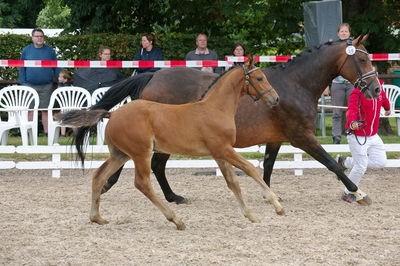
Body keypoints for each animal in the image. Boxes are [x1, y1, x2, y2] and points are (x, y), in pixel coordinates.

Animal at [61, 58, 282, 229]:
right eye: (260, 78)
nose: (276, 99)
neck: (214, 108)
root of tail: (113, 114)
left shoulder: (219, 153)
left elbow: (232, 182)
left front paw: (251, 215)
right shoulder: (224, 149)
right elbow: (251, 169)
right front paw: (277, 205)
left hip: (120, 154)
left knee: (99, 176)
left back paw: (97, 217)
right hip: (141, 153)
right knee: (142, 183)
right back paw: (176, 219)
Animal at [88, 35, 382, 205]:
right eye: (362, 58)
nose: (376, 89)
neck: (295, 84)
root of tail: (152, 76)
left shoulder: (276, 139)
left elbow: (267, 167)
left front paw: (269, 194)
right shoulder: (302, 137)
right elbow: (331, 163)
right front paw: (358, 192)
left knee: (153, 165)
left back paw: (167, 196)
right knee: (153, 164)